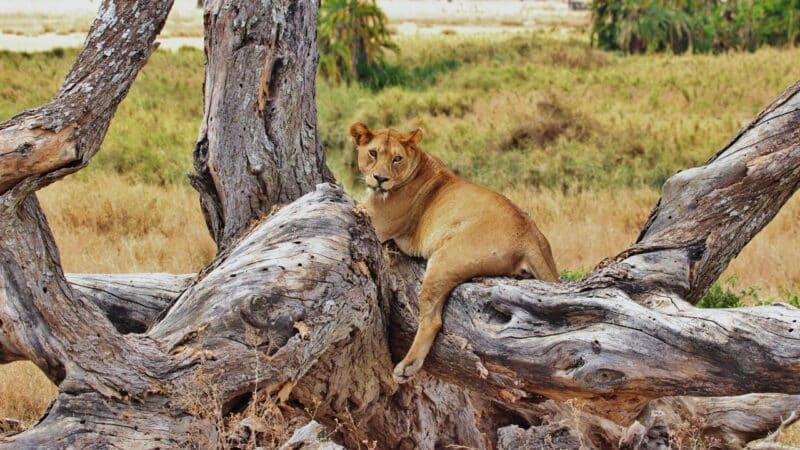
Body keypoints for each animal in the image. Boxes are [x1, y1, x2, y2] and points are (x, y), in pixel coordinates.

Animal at [350, 122, 559, 384]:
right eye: (373, 153)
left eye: (397, 159)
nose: (380, 179)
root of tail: (529, 234)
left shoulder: (376, 222)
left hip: (444, 260)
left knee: (432, 320)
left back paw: (407, 367)